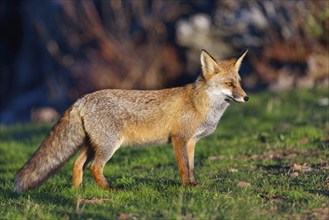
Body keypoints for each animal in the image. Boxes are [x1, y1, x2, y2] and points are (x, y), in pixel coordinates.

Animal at [14, 49, 247, 192]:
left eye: (239, 82)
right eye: (229, 84)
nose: (246, 98)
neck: (199, 104)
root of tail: (83, 98)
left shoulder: (191, 141)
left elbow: (191, 167)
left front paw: (193, 184)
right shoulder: (179, 139)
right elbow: (183, 167)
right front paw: (186, 187)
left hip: (92, 145)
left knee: (77, 165)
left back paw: (78, 191)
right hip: (108, 146)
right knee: (94, 168)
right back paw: (109, 189)